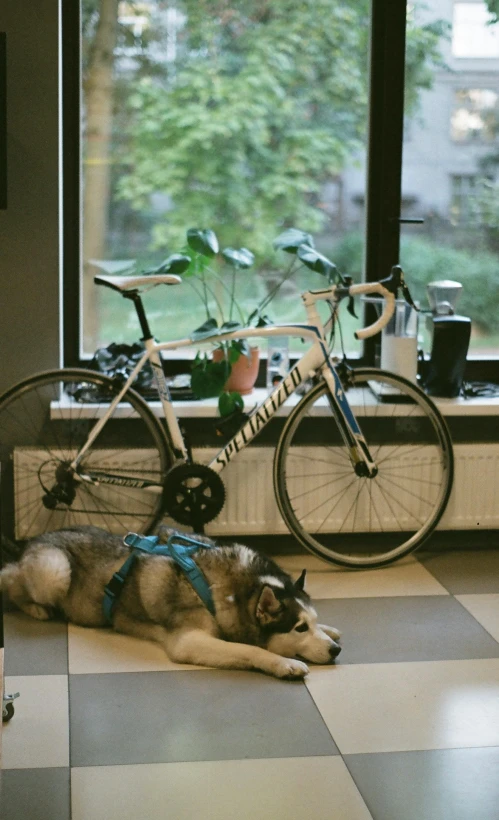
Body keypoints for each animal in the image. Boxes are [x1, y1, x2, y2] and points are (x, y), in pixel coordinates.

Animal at [0, 524, 342, 680]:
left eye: (310, 622)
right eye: (298, 628)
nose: (335, 651)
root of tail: (34, 540)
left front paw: (331, 629)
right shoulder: (189, 640)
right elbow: (250, 650)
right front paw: (284, 663)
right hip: (54, 571)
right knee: (11, 579)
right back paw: (36, 607)